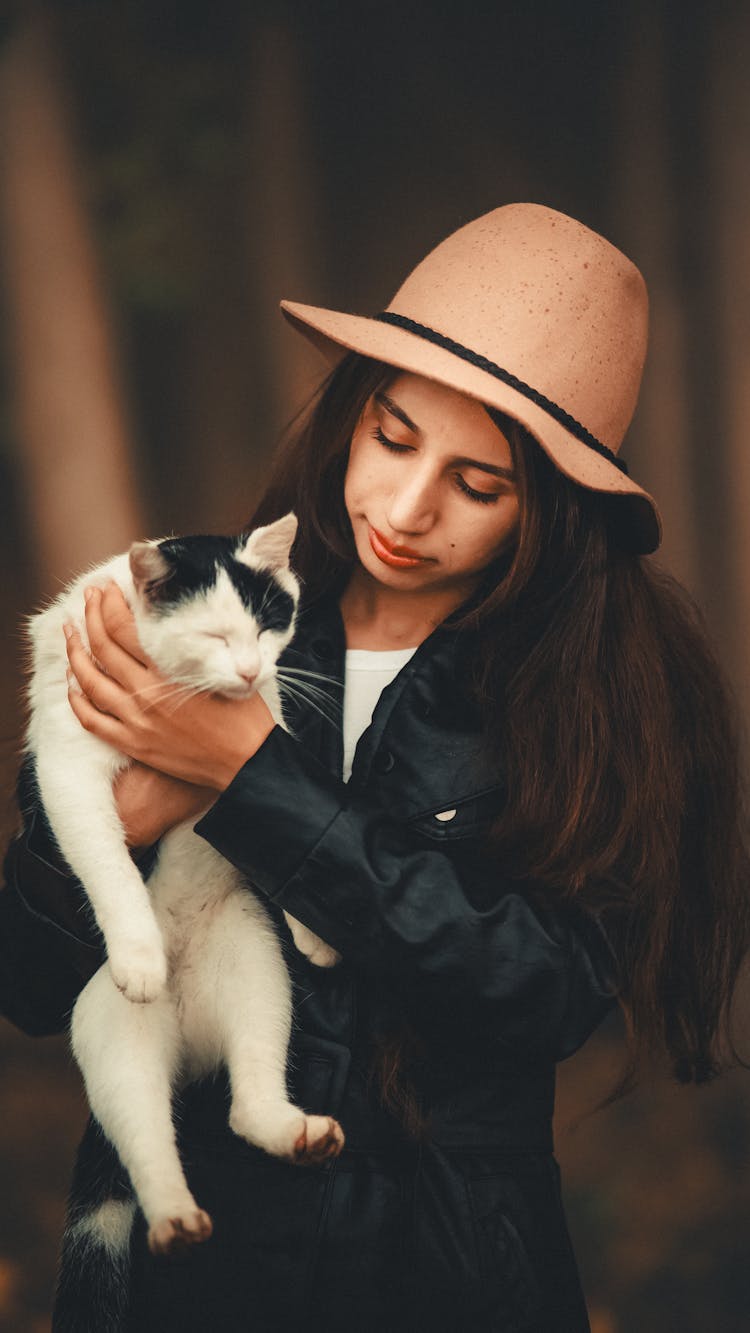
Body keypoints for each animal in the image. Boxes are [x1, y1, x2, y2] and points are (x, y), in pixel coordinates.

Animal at [24, 511, 346, 1258]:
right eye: (214, 636)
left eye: (266, 625)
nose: (252, 668)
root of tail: (192, 1042)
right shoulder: (67, 769)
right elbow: (108, 866)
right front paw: (140, 955)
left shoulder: (257, 749)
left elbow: (279, 821)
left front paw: (315, 929)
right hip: (112, 1038)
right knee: (147, 1137)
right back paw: (174, 1218)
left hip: (257, 971)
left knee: (246, 1105)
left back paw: (293, 1132)